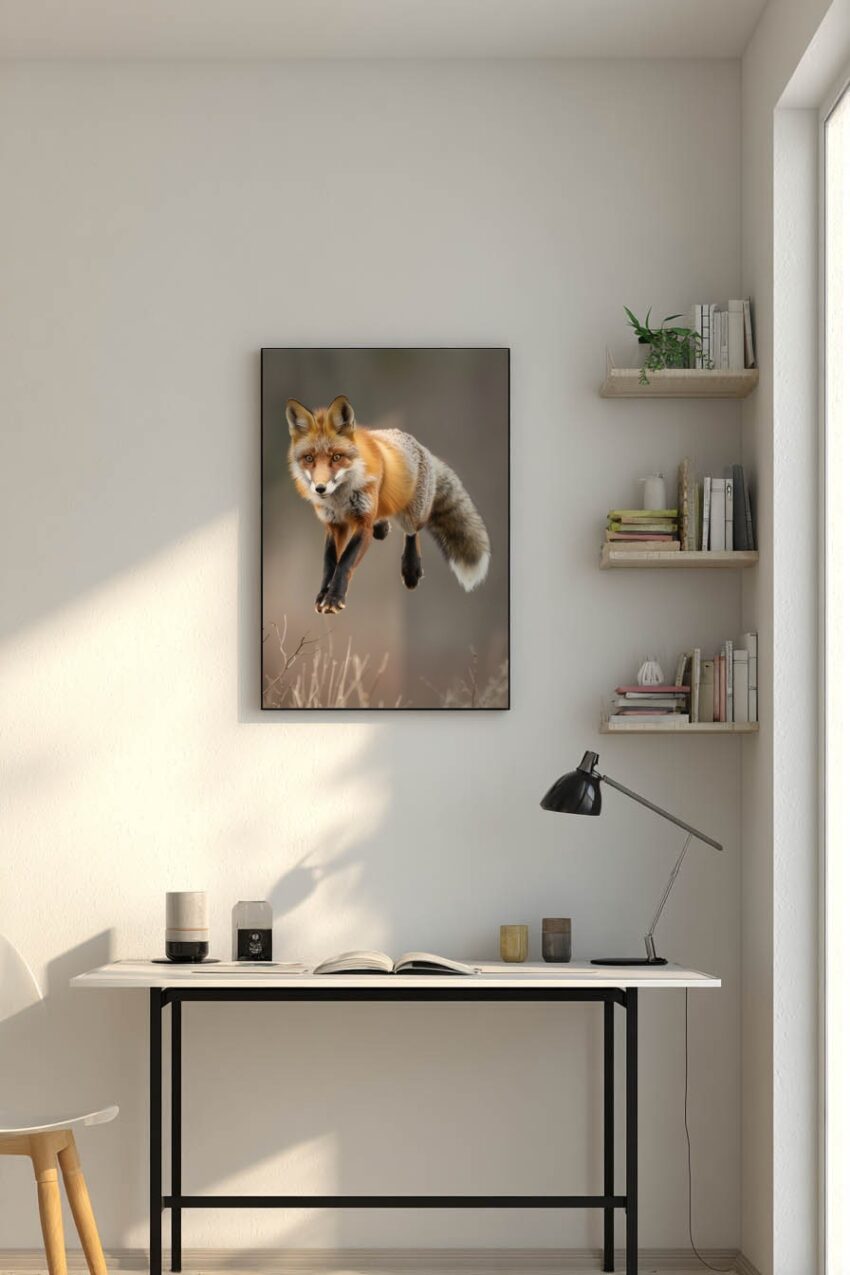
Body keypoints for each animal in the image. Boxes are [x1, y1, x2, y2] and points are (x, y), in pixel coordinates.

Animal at [286, 395, 490, 615]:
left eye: (336, 457)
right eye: (309, 459)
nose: (320, 489)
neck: (339, 499)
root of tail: (421, 446)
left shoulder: (363, 523)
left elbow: (345, 563)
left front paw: (334, 598)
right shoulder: (334, 525)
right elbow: (329, 564)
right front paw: (323, 594)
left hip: (412, 514)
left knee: (412, 532)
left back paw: (411, 570)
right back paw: (383, 528)